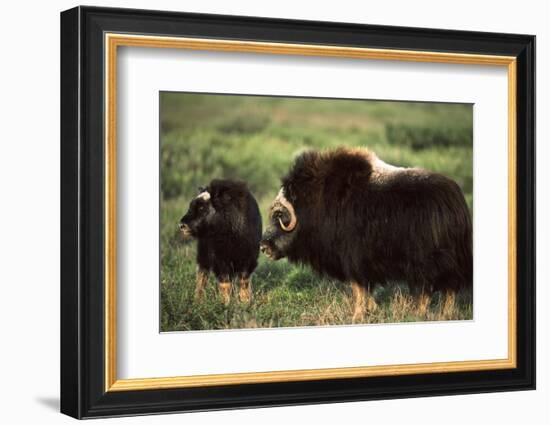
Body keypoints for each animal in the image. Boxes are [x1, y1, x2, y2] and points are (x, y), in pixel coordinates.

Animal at [260, 147, 472, 322]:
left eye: (279, 215)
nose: (263, 246)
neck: (316, 203)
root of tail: (455, 202)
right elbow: (364, 290)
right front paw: (373, 310)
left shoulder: (353, 258)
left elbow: (359, 289)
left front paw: (358, 316)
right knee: (446, 288)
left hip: (428, 262)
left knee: (433, 289)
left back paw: (420, 314)